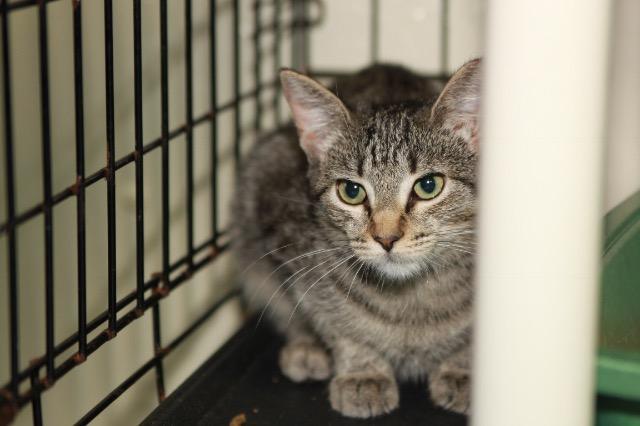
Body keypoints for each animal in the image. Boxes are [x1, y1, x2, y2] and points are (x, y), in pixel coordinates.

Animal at [235, 60, 480, 420]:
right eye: (351, 191)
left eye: (429, 185)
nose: (386, 237)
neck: (409, 300)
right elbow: (331, 319)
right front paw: (362, 370)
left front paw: (463, 367)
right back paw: (306, 349)